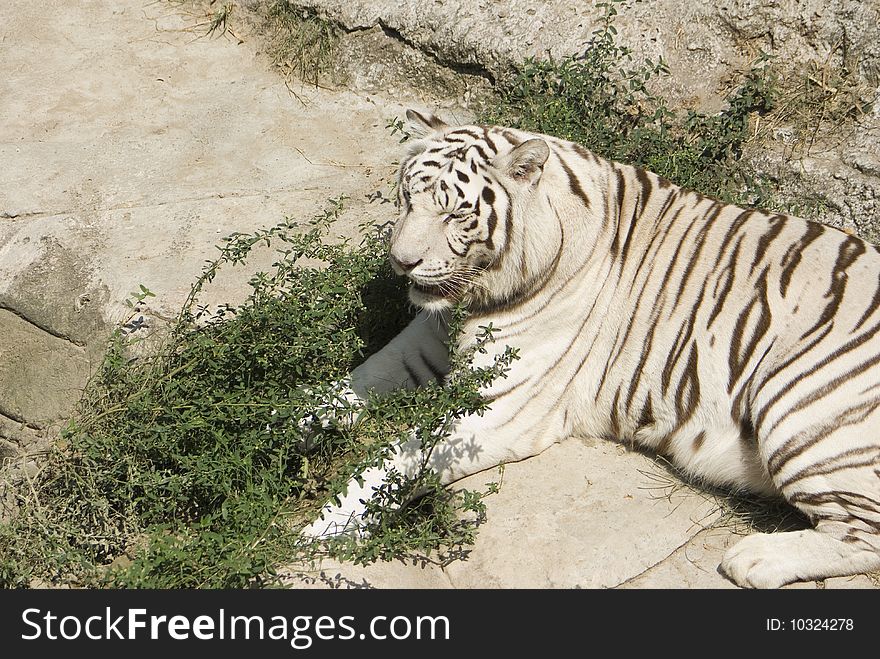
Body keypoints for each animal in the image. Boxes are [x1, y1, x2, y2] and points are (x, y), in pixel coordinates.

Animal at [302, 109, 880, 592]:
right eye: (407, 200)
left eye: (454, 216)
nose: (401, 263)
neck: (480, 296)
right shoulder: (425, 338)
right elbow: (357, 382)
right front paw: (293, 421)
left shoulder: (499, 410)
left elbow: (395, 460)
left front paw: (320, 528)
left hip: (800, 405)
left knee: (864, 533)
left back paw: (753, 559)